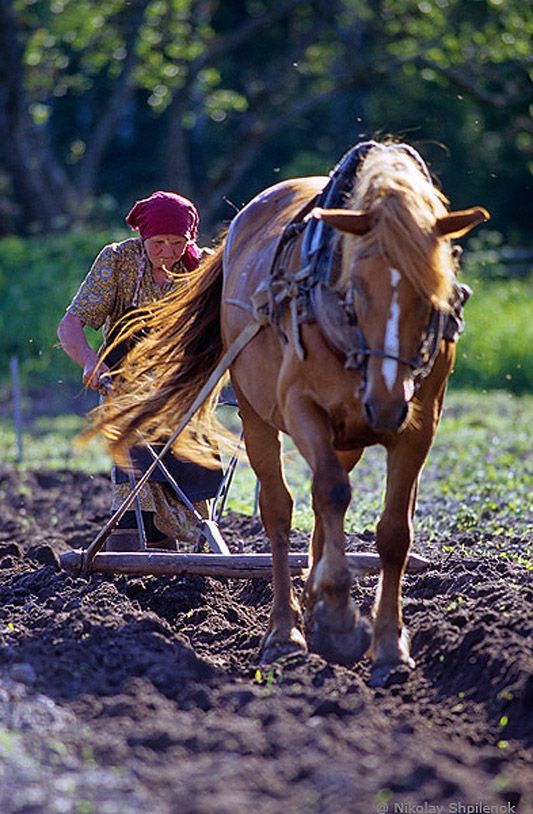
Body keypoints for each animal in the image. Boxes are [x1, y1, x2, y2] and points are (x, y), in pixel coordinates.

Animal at [97, 143, 488, 684]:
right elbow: (326, 494)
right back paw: (285, 632)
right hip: (260, 416)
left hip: (348, 434)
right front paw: (338, 620)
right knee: (281, 509)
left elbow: (393, 530)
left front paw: (388, 645)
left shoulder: (419, 424)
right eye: (355, 286)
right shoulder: (301, 406)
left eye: (431, 288)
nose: (386, 402)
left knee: (325, 504)